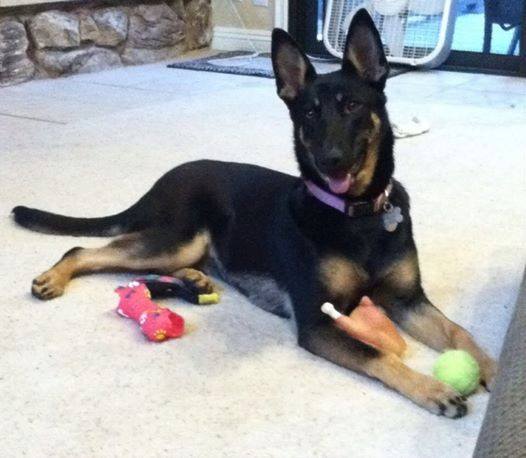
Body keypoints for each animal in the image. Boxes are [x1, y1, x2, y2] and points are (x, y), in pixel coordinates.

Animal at [13, 10, 495, 418]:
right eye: (309, 114)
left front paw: (492, 366)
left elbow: (459, 332)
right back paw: (53, 278)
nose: (330, 161)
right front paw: (433, 389)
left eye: (352, 106)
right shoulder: (317, 322)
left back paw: (196, 279)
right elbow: (377, 354)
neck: (357, 215)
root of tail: (164, 179)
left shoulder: (406, 299)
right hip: (175, 240)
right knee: (84, 250)